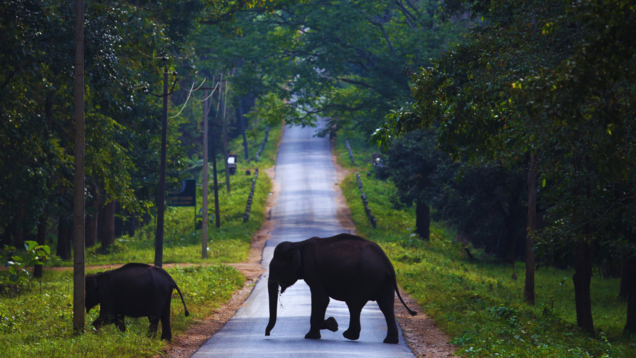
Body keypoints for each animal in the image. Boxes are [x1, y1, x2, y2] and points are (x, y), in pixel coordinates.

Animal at [264, 234, 418, 342]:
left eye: (276, 268)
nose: (267, 333)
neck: (298, 244)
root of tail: (388, 265)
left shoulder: (312, 269)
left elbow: (321, 299)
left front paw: (332, 325)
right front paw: (321, 331)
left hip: (365, 279)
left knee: (354, 303)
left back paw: (348, 335)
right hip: (383, 282)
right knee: (386, 305)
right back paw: (389, 341)